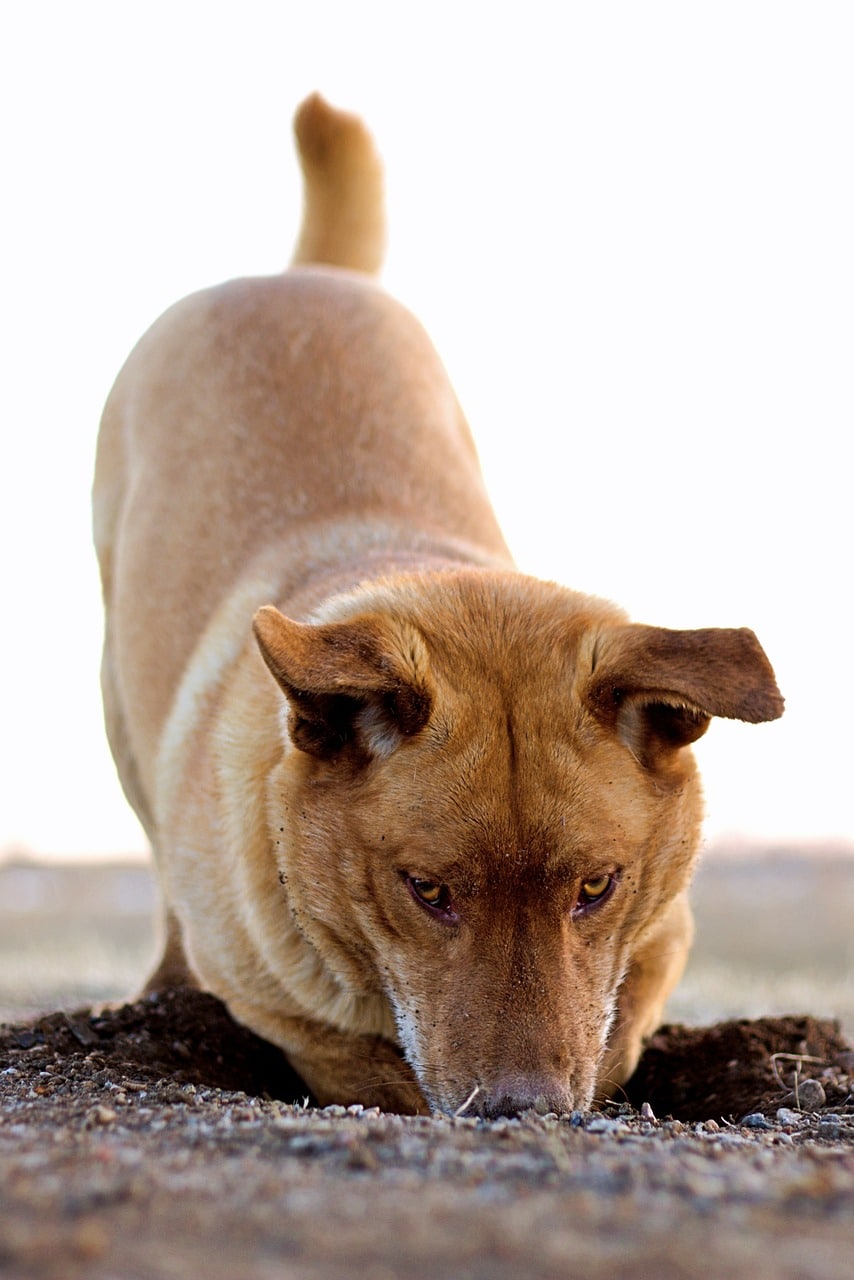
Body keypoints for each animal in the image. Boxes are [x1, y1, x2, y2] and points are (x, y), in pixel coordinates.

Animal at [92, 94, 783, 1116]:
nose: (521, 1109)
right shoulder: (289, 1012)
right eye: (426, 889)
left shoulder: (659, 932)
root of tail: (300, 275)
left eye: (597, 886)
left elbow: (618, 1023)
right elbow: (367, 1063)